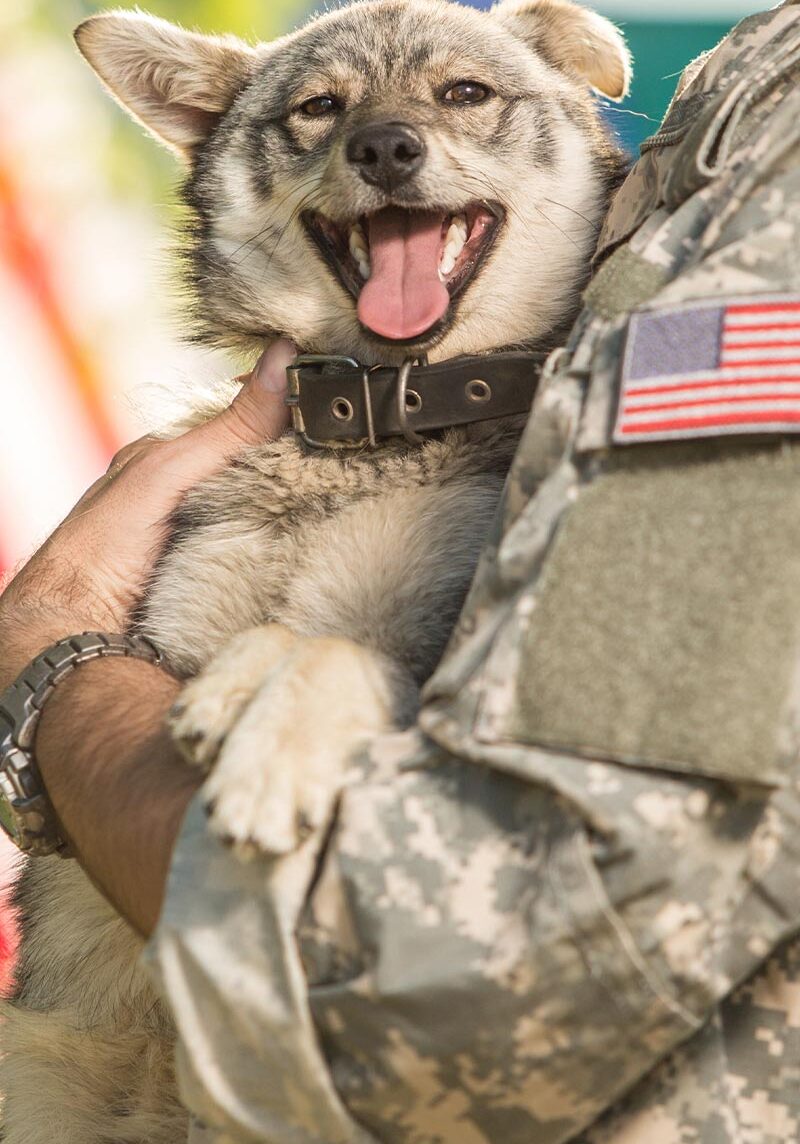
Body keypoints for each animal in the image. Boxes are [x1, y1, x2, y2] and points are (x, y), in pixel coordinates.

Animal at [0, 2, 627, 1134]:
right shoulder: (167, 631)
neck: (370, 427)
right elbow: (246, 639)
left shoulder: (443, 649)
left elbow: (337, 652)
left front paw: (271, 729)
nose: (384, 149)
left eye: (463, 93)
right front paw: (243, 685)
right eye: (319, 109)